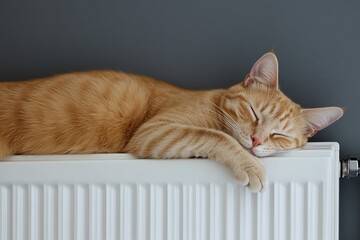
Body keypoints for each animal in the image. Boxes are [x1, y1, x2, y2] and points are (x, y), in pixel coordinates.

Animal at [0, 52, 344, 191]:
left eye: (278, 136)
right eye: (254, 113)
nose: (256, 141)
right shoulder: (154, 132)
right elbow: (217, 137)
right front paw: (249, 163)